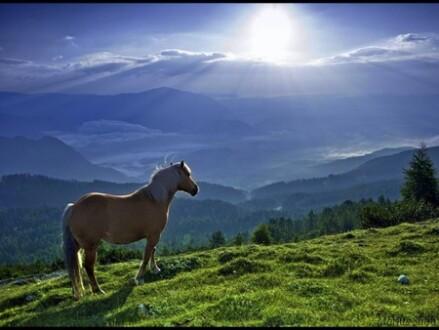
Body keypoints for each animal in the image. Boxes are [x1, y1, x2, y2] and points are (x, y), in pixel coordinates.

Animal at [62, 160, 199, 300]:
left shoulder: (154, 235)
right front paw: (139, 277)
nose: (195, 189)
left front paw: (155, 269)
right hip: (91, 246)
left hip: (78, 246)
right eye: (187, 174)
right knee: (88, 266)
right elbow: (147, 255)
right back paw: (98, 290)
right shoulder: (154, 235)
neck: (155, 199)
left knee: (75, 266)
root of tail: (73, 207)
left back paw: (76, 292)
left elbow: (152, 251)